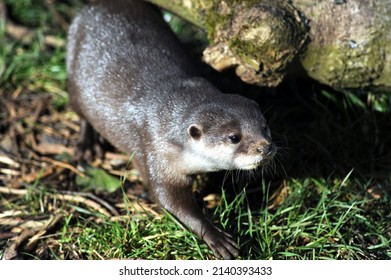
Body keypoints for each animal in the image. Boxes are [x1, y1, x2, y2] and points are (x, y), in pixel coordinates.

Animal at [66, 0, 276, 260]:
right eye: (234, 137)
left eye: (264, 126)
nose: (265, 148)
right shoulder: (155, 148)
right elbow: (168, 198)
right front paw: (215, 236)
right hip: (74, 75)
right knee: (80, 111)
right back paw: (87, 145)